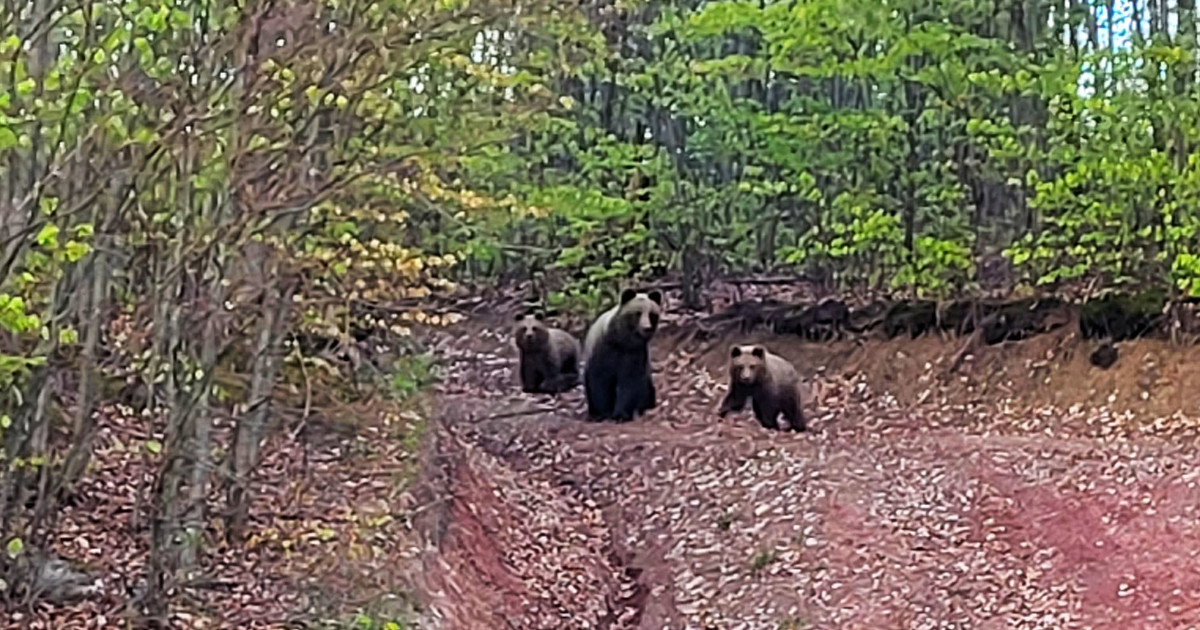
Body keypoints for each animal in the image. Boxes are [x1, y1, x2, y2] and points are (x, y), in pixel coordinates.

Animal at [583, 289, 667, 417]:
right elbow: (600, 380)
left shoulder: (634, 354)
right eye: (638, 313)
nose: (646, 328)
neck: (622, 341)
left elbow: (629, 382)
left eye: (652, 314)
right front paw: (603, 412)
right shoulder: (603, 350)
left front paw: (620, 414)